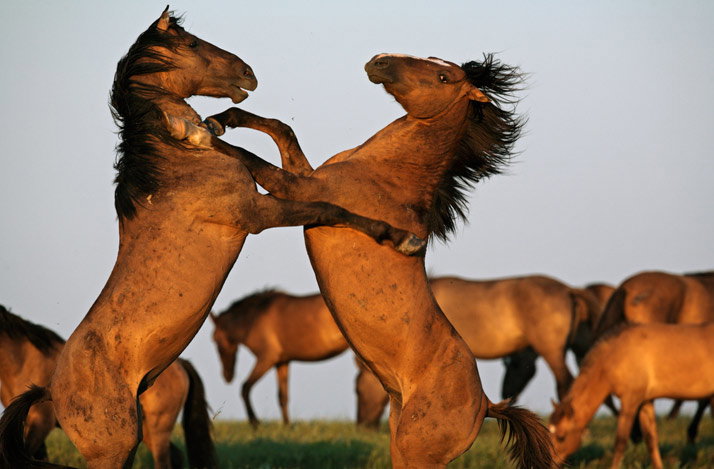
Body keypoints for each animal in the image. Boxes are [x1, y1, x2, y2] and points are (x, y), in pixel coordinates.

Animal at [210, 289, 350, 427]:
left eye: (215, 340)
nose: (227, 376)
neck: (256, 316)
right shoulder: (282, 362)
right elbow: (283, 396)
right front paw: (287, 426)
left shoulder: (267, 358)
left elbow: (245, 388)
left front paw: (254, 422)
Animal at [354, 275, 606, 428]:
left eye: (357, 390)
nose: (362, 425)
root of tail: (569, 290)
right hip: (579, 345)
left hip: (551, 350)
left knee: (565, 383)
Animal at [548, 322, 714, 469]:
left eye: (561, 437)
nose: (549, 463)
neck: (617, 353)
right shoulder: (646, 402)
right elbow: (651, 439)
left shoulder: (630, 400)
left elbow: (620, 442)